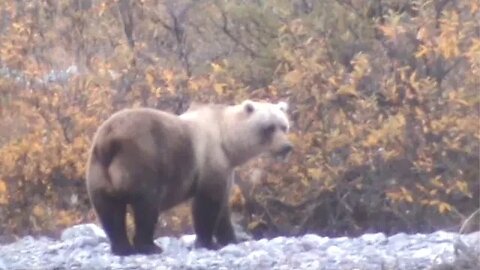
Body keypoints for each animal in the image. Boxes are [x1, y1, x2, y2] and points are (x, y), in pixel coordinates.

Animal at [86, 99, 292, 255]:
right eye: (269, 127)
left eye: (284, 126)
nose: (287, 147)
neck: (227, 142)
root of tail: (110, 141)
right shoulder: (210, 160)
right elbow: (207, 205)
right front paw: (208, 242)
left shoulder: (226, 169)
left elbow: (223, 207)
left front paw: (231, 239)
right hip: (141, 162)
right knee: (146, 208)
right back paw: (149, 246)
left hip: (99, 172)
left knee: (110, 212)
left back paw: (122, 248)